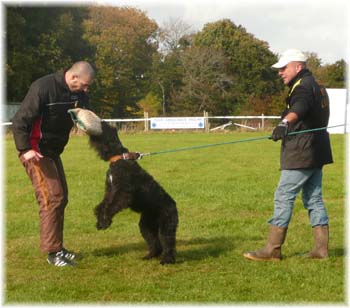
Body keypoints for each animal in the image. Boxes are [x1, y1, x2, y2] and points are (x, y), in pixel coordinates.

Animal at [89, 121, 179, 264]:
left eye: (106, 129)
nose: (101, 122)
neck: (119, 159)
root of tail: (174, 205)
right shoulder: (110, 190)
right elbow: (103, 205)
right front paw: (100, 221)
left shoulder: (122, 193)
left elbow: (111, 206)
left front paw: (105, 222)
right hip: (146, 226)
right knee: (155, 242)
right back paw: (150, 255)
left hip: (166, 225)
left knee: (168, 242)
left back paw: (167, 260)